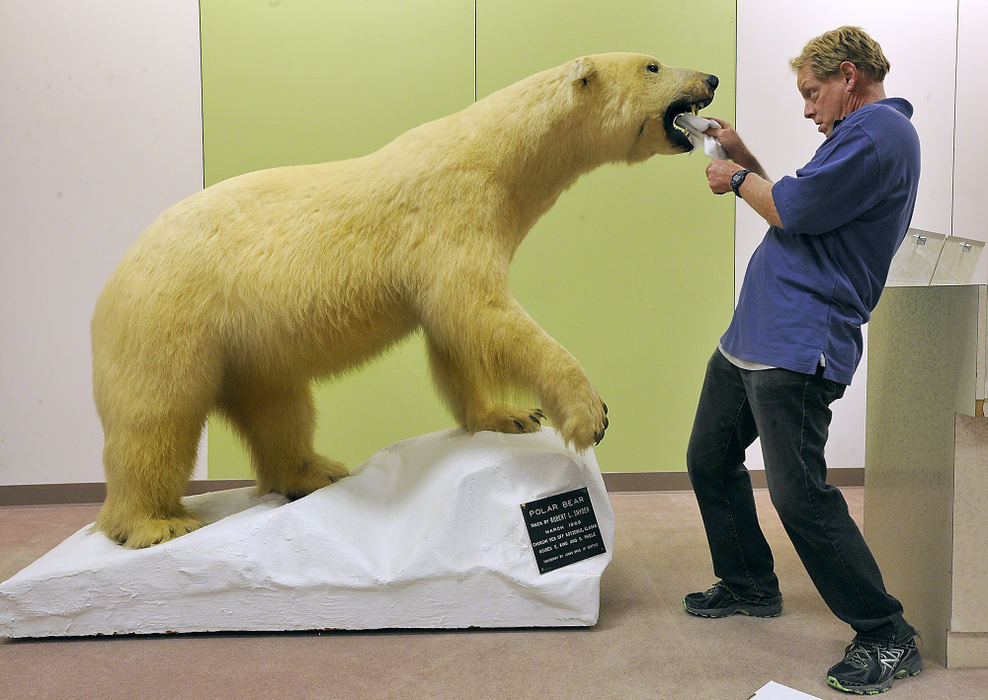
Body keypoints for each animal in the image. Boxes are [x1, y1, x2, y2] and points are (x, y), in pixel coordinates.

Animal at [90, 53, 716, 548]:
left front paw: (509, 414)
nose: (710, 76)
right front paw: (589, 413)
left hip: (248, 345)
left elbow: (456, 337)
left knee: (280, 406)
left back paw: (314, 472)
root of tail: (110, 284)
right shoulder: (452, 212)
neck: (498, 159)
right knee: (156, 419)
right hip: (171, 318)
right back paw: (155, 523)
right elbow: (482, 312)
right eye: (653, 64)